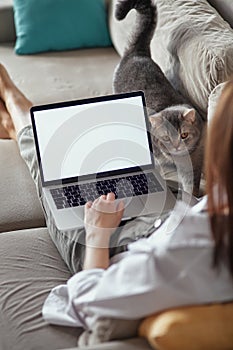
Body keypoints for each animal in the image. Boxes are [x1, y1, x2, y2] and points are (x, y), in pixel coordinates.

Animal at [113, 0, 206, 197]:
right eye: (166, 138)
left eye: (184, 135)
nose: (177, 147)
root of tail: (137, 53)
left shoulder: (196, 159)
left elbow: (192, 182)